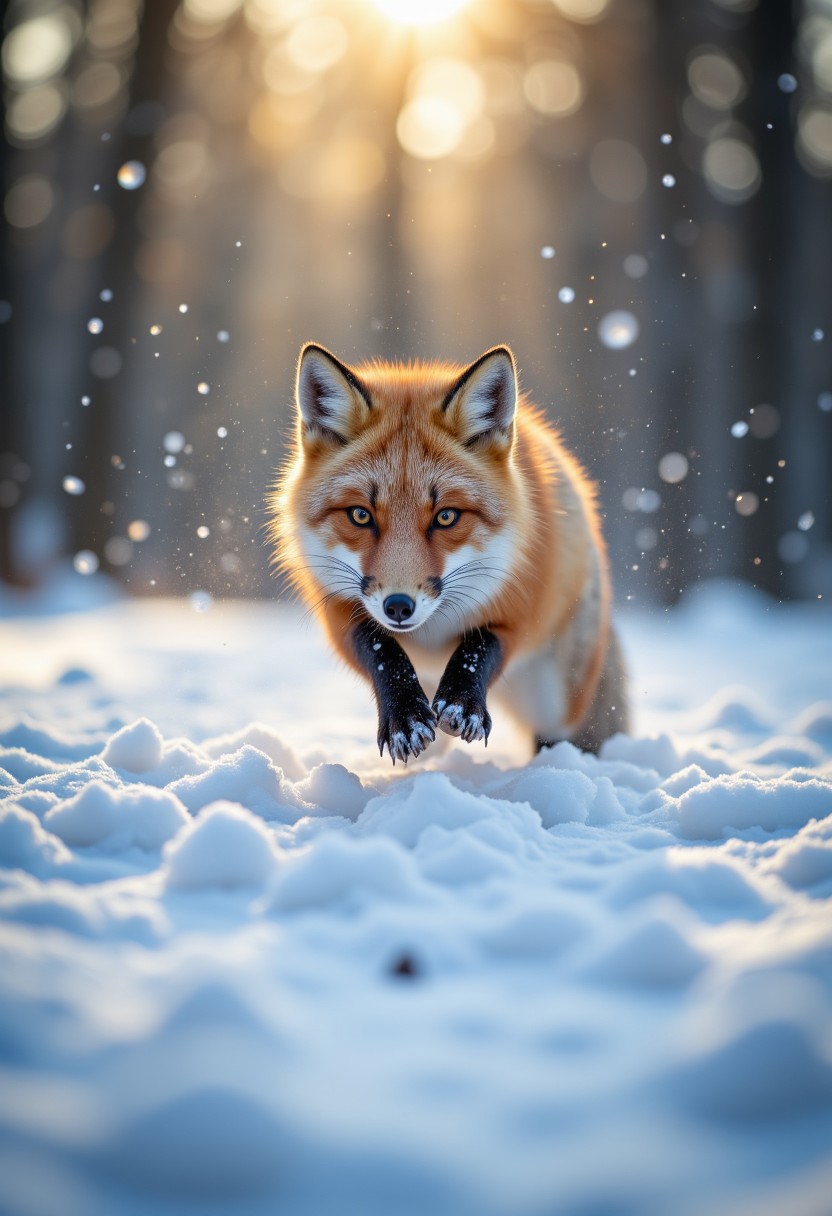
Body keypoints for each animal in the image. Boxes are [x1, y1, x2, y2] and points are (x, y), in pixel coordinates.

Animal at [269, 342, 628, 765]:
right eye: (360, 515)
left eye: (445, 517)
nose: (398, 606)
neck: (430, 636)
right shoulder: (340, 611)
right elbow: (380, 649)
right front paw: (406, 717)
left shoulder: (522, 608)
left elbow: (479, 646)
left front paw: (461, 704)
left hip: (558, 703)